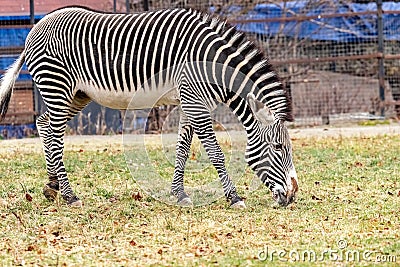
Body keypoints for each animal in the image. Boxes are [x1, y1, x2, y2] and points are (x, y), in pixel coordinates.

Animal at [0, 5, 296, 207]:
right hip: (57, 87)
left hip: (76, 95)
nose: (292, 195)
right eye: (278, 148)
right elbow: (215, 153)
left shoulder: (187, 102)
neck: (212, 66)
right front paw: (234, 197)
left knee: (44, 125)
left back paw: (52, 187)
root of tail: (35, 28)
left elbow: (182, 150)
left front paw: (179, 194)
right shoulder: (196, 102)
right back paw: (70, 195)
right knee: (54, 134)